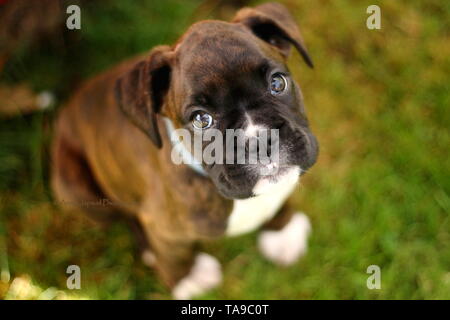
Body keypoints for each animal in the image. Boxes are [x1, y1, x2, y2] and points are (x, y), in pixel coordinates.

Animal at [52, 2, 318, 298]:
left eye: (277, 83)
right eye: (202, 119)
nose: (261, 141)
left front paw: (282, 231)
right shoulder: (163, 226)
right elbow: (174, 256)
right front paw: (187, 279)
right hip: (76, 188)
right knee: (126, 216)